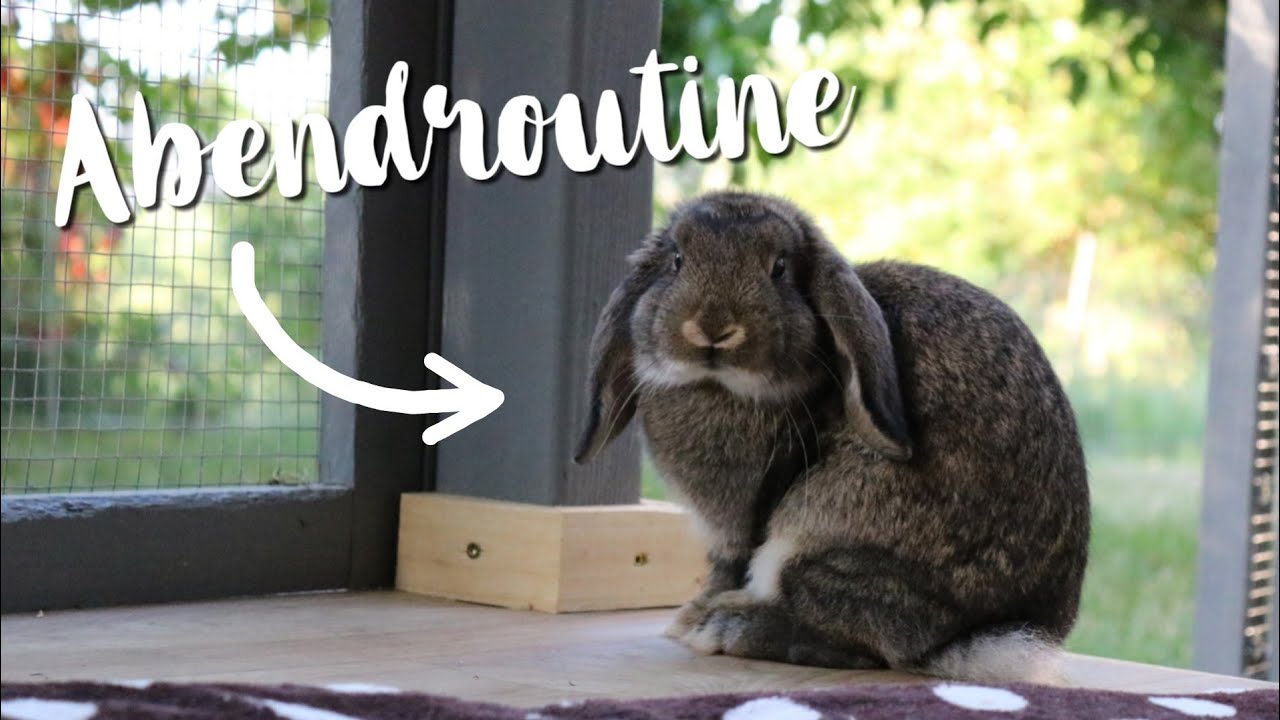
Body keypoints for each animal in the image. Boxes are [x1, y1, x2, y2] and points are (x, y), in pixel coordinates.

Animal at [572, 190, 1090, 683]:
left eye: (779, 268)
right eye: (677, 260)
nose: (714, 329)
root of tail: (979, 637)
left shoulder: (739, 526)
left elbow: (726, 567)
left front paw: (690, 616)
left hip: (815, 538)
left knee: (860, 643)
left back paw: (723, 627)